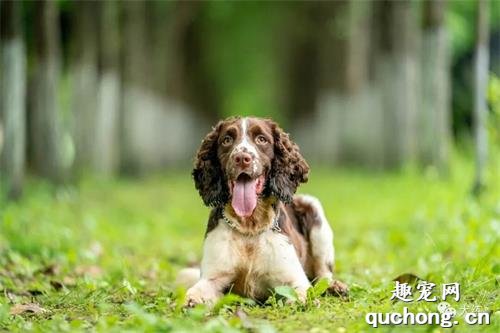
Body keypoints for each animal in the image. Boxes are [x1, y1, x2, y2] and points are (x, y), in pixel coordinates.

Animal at [184, 116, 348, 306]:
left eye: (261, 139)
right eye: (226, 140)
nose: (242, 158)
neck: (249, 227)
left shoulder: (294, 278)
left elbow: (301, 295)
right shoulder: (212, 277)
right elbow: (194, 292)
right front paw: (190, 301)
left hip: (314, 211)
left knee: (323, 274)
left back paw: (335, 287)